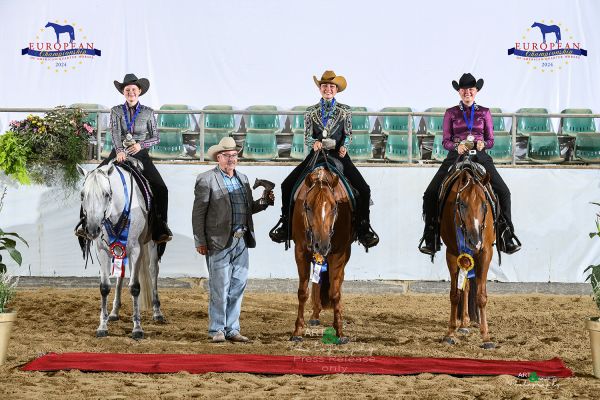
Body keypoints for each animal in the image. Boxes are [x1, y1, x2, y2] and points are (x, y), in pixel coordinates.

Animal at [78, 161, 166, 340]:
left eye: (106, 194)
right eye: (83, 195)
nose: (92, 229)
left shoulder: (136, 250)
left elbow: (135, 287)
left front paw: (137, 329)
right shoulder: (103, 250)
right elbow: (105, 287)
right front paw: (102, 326)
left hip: (151, 244)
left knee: (153, 271)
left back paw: (157, 312)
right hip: (119, 250)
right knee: (121, 275)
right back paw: (114, 312)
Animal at [290, 166, 352, 344]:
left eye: (334, 207)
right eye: (308, 207)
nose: (322, 245)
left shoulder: (338, 253)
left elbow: (335, 293)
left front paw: (340, 332)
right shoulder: (300, 252)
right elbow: (303, 292)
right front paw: (297, 331)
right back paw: (315, 315)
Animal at [438, 164, 494, 348]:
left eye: (484, 204)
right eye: (462, 204)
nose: (474, 240)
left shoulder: (485, 253)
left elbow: (481, 296)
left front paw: (486, 336)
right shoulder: (452, 253)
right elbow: (455, 294)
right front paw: (450, 332)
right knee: (466, 287)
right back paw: (463, 323)